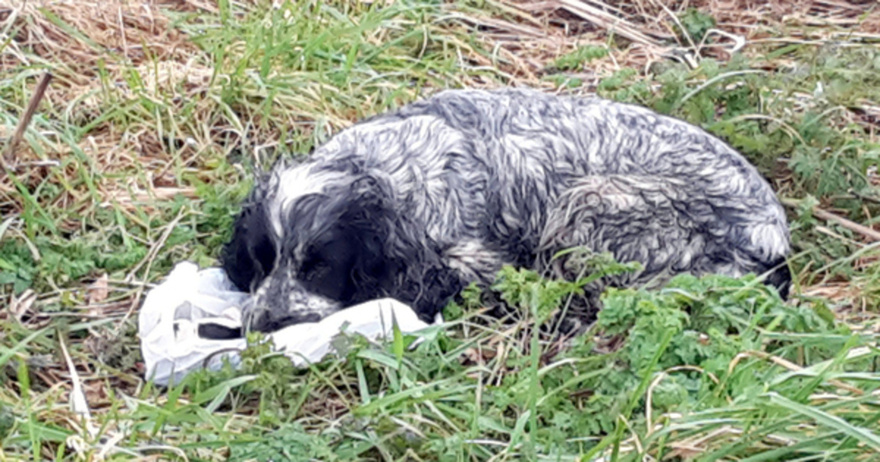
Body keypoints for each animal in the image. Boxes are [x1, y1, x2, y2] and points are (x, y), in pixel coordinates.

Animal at [222, 87, 792, 332]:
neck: (384, 170)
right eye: (260, 262)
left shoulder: (473, 259)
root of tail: (773, 240)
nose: (265, 323)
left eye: (321, 268)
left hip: (589, 205)